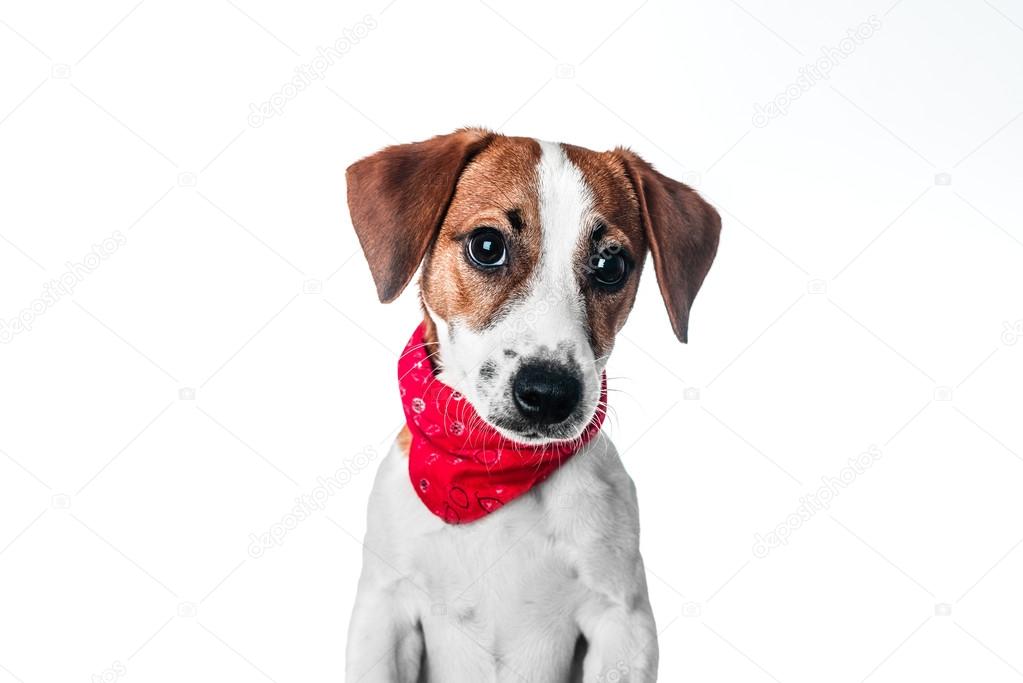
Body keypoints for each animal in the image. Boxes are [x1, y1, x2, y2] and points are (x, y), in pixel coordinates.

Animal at [343, 129, 720, 683]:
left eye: (611, 265)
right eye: (487, 246)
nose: (549, 393)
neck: (493, 471)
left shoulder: (622, 623)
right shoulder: (382, 615)